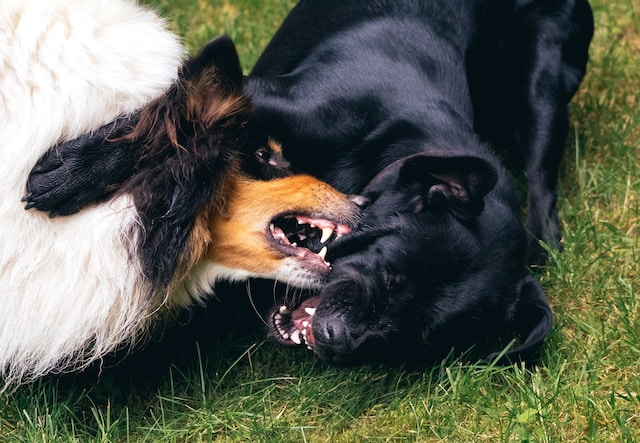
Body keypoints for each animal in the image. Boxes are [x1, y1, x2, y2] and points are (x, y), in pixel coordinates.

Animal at [27, 0, 592, 368]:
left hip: (546, 74)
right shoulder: (260, 94)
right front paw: (69, 172)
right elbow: (170, 120)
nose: (336, 341)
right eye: (390, 272)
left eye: (421, 335)